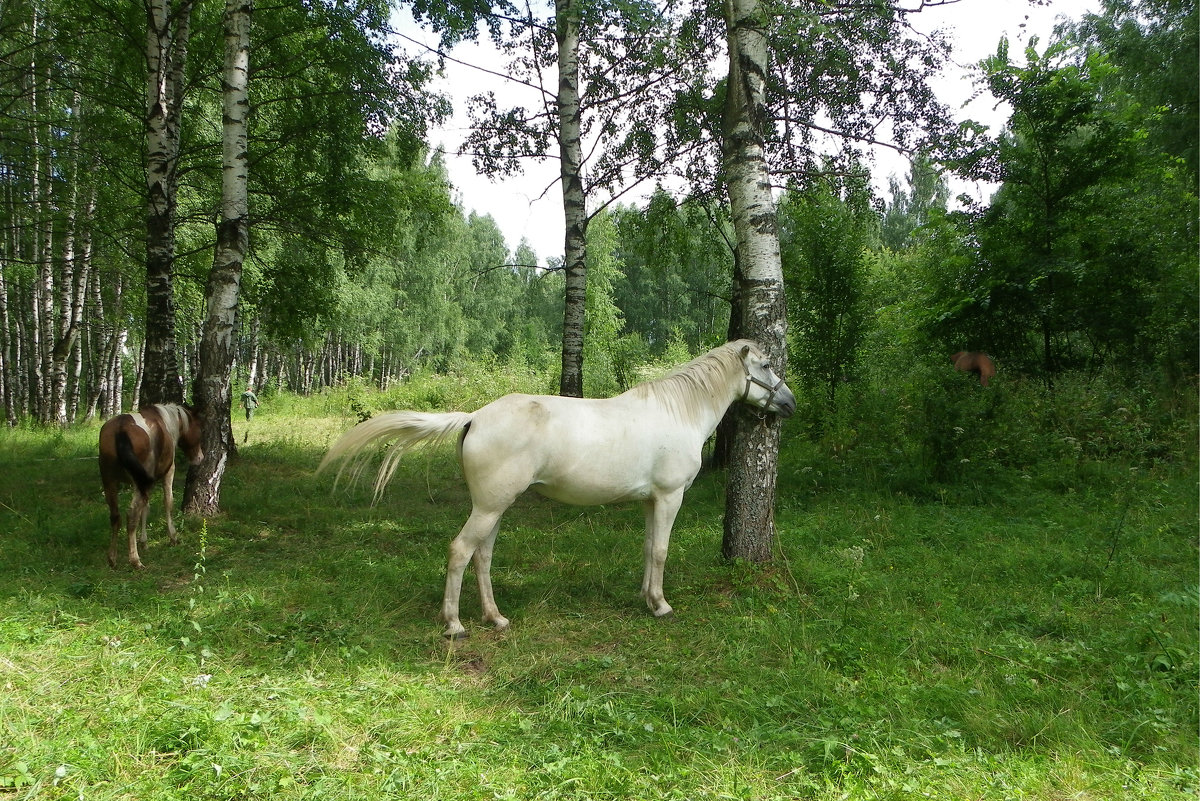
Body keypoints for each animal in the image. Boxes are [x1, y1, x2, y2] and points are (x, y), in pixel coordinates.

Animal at [99, 402, 202, 565]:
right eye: (199, 428)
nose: (199, 457)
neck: (165, 421)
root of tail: (121, 430)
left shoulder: (146, 483)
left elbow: (145, 508)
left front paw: (144, 542)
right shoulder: (168, 472)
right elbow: (167, 502)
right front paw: (173, 536)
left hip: (110, 482)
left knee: (115, 516)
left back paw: (112, 558)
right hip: (137, 483)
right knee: (131, 515)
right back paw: (135, 560)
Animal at [324, 338, 796, 637]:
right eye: (766, 366)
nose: (789, 403)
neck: (678, 412)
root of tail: (474, 416)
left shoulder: (649, 501)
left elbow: (648, 548)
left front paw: (646, 598)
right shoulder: (668, 496)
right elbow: (662, 550)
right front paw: (661, 606)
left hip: (494, 507)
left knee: (482, 556)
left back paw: (495, 618)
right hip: (489, 507)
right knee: (460, 551)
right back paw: (455, 625)